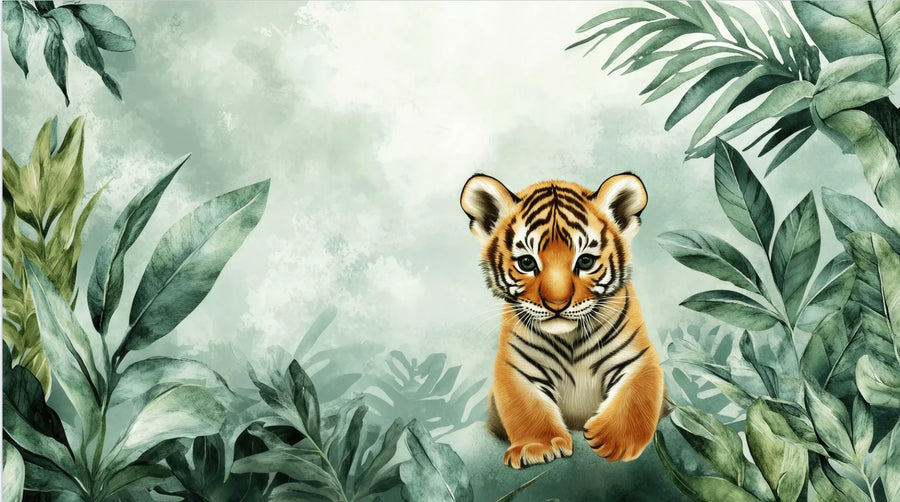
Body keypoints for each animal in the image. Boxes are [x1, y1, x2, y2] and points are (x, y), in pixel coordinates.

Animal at [460, 173, 665, 469]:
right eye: (526, 263)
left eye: (586, 261)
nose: (557, 304)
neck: (570, 338)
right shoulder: (517, 367)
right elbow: (527, 406)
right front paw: (537, 447)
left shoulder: (638, 358)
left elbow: (636, 396)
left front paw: (614, 440)